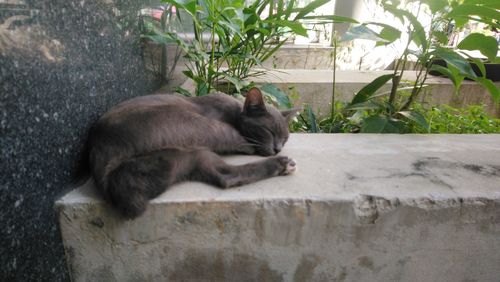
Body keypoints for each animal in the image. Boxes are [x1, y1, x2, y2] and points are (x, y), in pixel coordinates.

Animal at [85, 87, 296, 218]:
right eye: (269, 131)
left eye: (285, 138)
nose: (278, 148)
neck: (234, 111)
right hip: (202, 126)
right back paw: (282, 162)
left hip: (188, 156)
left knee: (225, 176)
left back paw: (283, 164)